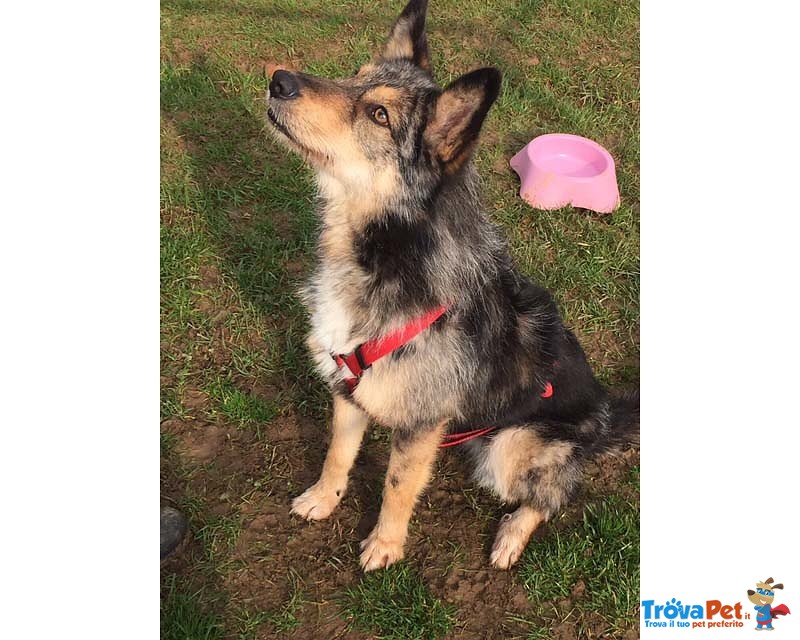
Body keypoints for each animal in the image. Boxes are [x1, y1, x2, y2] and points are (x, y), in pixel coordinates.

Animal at [266, 0, 640, 568]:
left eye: (379, 115)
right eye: (352, 77)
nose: (278, 80)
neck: (389, 253)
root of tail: (605, 418)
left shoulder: (420, 425)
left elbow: (397, 486)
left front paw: (385, 545)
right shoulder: (349, 387)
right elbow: (337, 453)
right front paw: (323, 499)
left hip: (514, 446)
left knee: (554, 494)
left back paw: (511, 535)